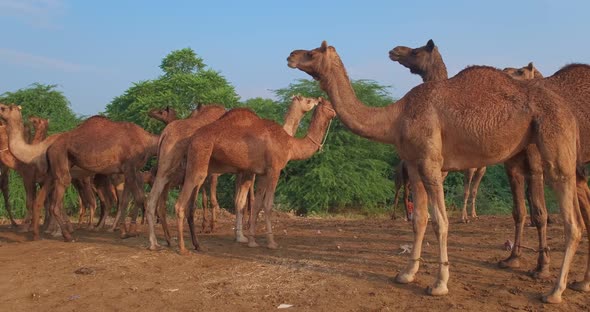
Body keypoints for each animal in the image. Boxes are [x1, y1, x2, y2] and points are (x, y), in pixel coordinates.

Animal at [388, 40, 490, 223]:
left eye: (415, 51)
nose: (394, 50)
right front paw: (462, 217)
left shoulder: (473, 168)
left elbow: (470, 190)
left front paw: (471, 215)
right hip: (402, 173)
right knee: (401, 191)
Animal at [502, 62, 590, 292]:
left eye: (521, 72)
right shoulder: (512, 167)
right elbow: (519, 212)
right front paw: (513, 258)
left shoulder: (536, 167)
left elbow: (540, 214)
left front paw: (542, 267)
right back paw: (584, 282)